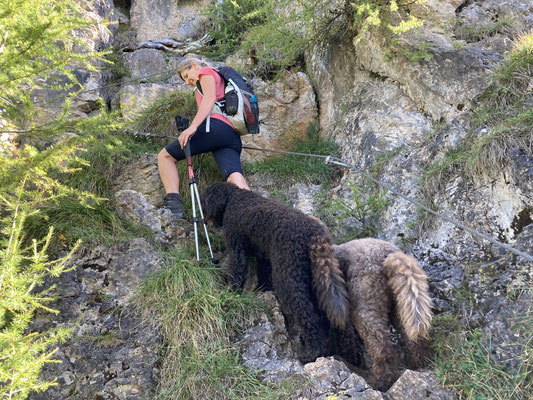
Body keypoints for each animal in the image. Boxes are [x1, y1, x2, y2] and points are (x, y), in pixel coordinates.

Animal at [204, 183, 350, 364]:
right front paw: (261, 291)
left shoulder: (237, 245)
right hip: (313, 276)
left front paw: (232, 292)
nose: (205, 217)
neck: (234, 197)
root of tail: (315, 236)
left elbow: (237, 270)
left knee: (309, 315)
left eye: (205, 199)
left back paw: (311, 352)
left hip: (287, 277)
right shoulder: (263, 256)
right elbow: (264, 275)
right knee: (320, 314)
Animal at [332, 238, 432, 390]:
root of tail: (388, 254)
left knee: (382, 347)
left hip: (365, 301)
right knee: (409, 334)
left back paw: (380, 381)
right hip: (398, 301)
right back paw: (419, 362)